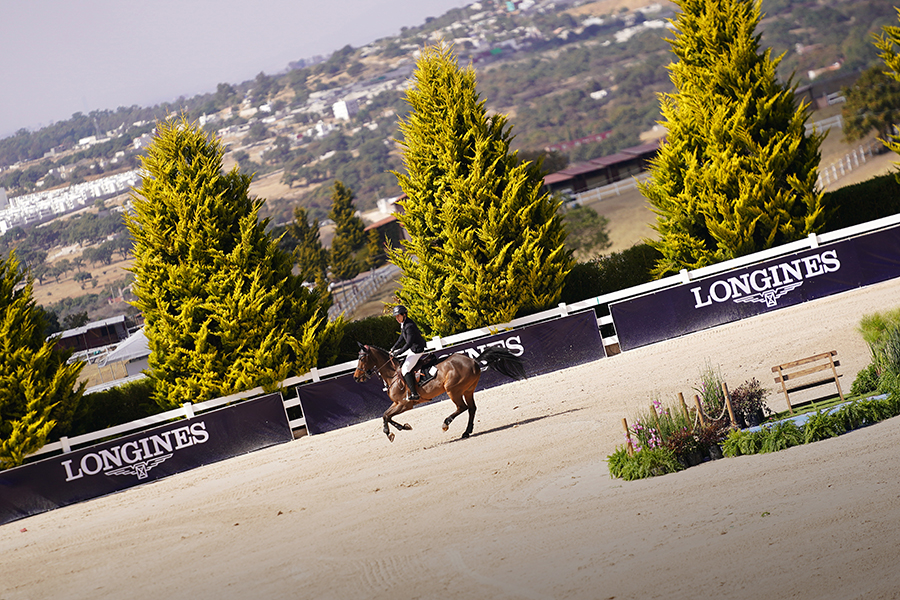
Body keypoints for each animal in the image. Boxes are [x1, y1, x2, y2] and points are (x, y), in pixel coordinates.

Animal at [354, 342, 528, 440]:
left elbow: (386, 416)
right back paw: (466, 432)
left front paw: (391, 432)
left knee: (462, 407)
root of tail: (473, 360)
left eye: (362, 358)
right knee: (471, 408)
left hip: (453, 390)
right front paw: (402, 428)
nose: (356, 377)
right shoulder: (396, 403)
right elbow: (385, 416)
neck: (393, 374)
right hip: (468, 390)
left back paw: (446, 424)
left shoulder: (404, 404)